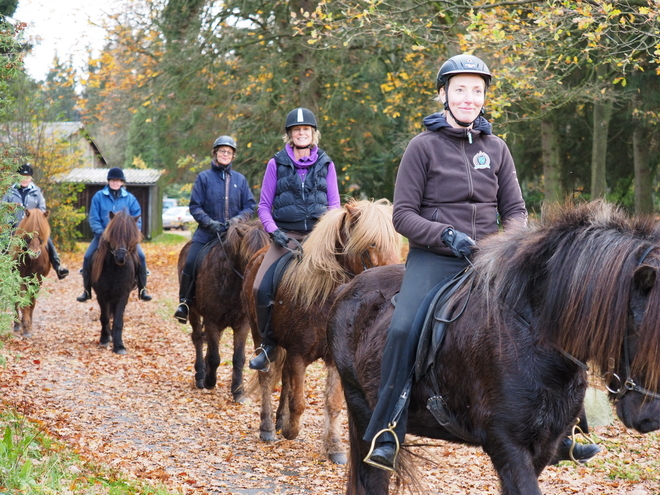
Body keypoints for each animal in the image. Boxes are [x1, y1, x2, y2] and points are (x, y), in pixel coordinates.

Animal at [12, 207, 51, 340]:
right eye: (28, 233)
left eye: (41, 233)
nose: (34, 253)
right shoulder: (20, 279)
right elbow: (23, 302)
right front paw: (26, 329)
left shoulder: (37, 281)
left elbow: (32, 303)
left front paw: (30, 325)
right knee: (15, 300)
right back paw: (17, 325)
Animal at [90, 211, 142, 354]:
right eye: (113, 234)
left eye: (130, 236)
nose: (120, 257)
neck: (115, 268)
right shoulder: (102, 295)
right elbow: (105, 317)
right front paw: (104, 339)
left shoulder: (123, 295)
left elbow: (118, 320)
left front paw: (119, 346)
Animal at [177, 221, 270, 404]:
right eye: (249, 258)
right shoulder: (212, 321)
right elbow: (214, 357)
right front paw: (209, 381)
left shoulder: (242, 325)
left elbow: (238, 358)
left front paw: (238, 391)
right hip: (194, 313)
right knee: (198, 339)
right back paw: (201, 375)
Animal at [242, 198, 402, 464]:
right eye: (371, 243)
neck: (325, 298)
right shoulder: (297, 354)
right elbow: (299, 402)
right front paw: (291, 430)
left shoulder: (332, 360)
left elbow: (333, 403)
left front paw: (334, 447)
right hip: (259, 336)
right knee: (267, 377)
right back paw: (268, 427)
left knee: (284, 379)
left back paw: (279, 421)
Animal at [328, 202, 660, 495]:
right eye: (636, 328)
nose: (650, 417)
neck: (532, 333)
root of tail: (348, 288)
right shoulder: (506, 444)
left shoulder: (544, 445)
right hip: (362, 407)